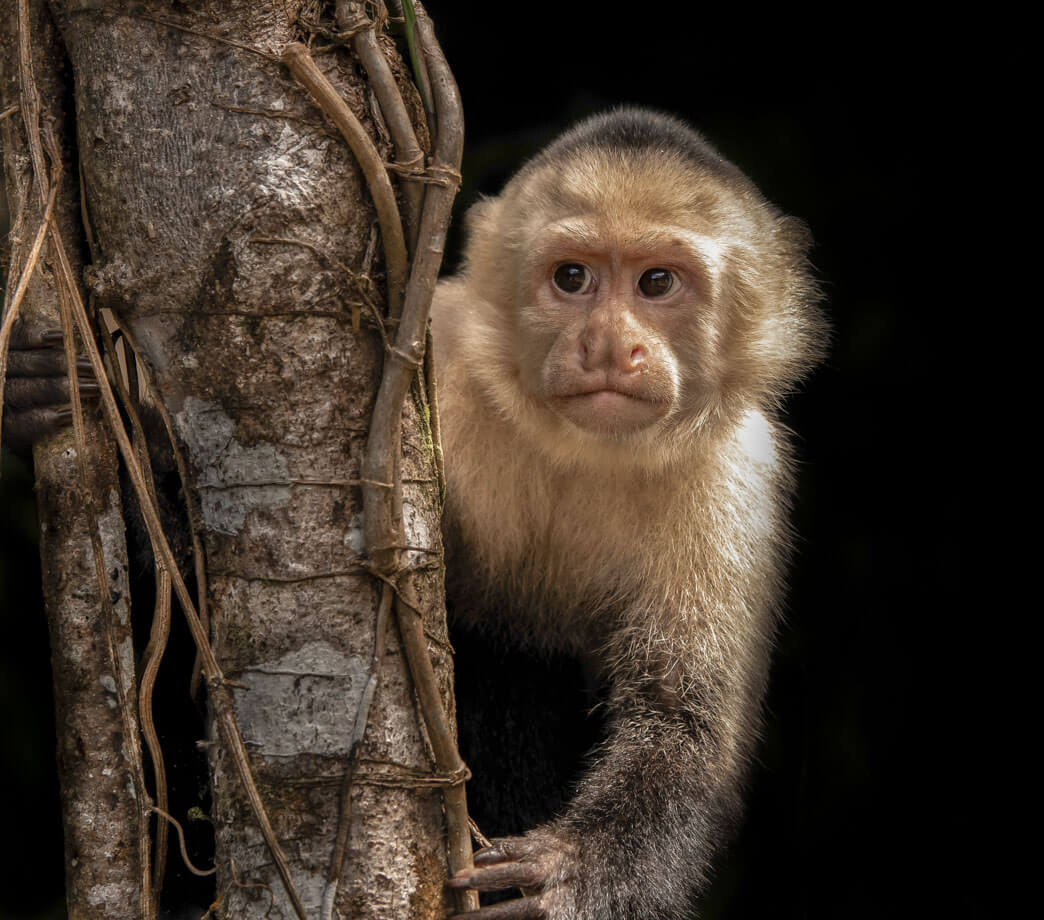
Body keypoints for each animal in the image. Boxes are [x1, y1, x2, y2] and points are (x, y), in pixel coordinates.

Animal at [4, 105, 826, 918]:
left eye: (658, 282)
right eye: (572, 277)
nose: (606, 346)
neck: (572, 447)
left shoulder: (740, 477)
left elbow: (687, 725)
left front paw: (565, 875)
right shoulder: (443, 359)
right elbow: (199, 612)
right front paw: (84, 428)